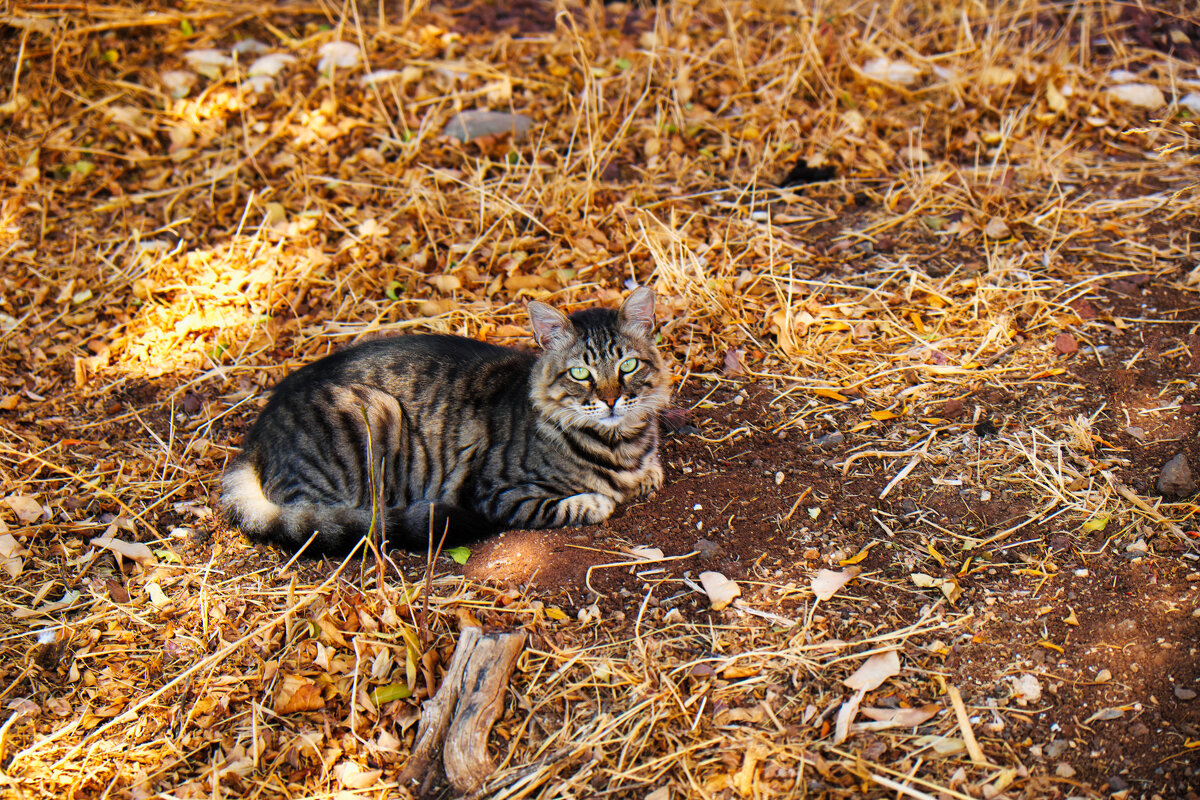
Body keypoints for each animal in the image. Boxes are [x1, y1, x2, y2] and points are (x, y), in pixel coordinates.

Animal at [216, 287, 667, 556]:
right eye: (579, 374)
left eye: (628, 366)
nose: (610, 400)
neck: (620, 443)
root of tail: (257, 431)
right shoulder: (497, 492)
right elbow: (582, 505)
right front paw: (601, 499)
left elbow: (652, 473)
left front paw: (644, 477)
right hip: (375, 416)